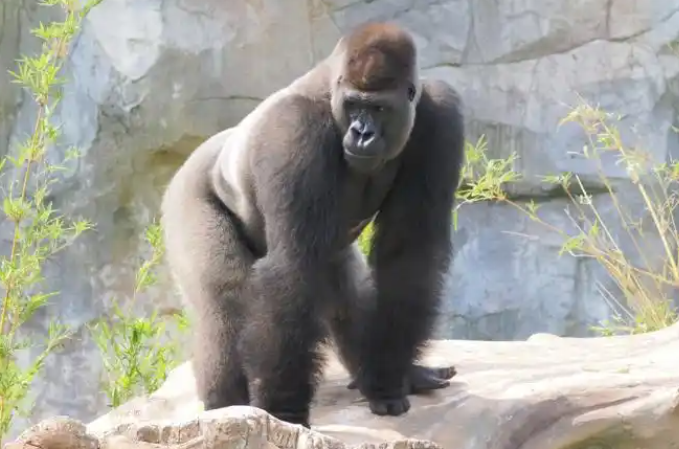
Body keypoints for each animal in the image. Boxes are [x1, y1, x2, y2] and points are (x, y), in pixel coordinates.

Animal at [160, 21, 464, 429]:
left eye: (379, 108)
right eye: (354, 105)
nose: (362, 134)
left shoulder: (441, 116)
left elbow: (408, 253)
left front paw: (389, 376)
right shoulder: (294, 131)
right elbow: (293, 265)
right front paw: (284, 409)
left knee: (346, 289)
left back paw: (390, 373)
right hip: (185, 197)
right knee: (223, 301)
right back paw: (226, 405)